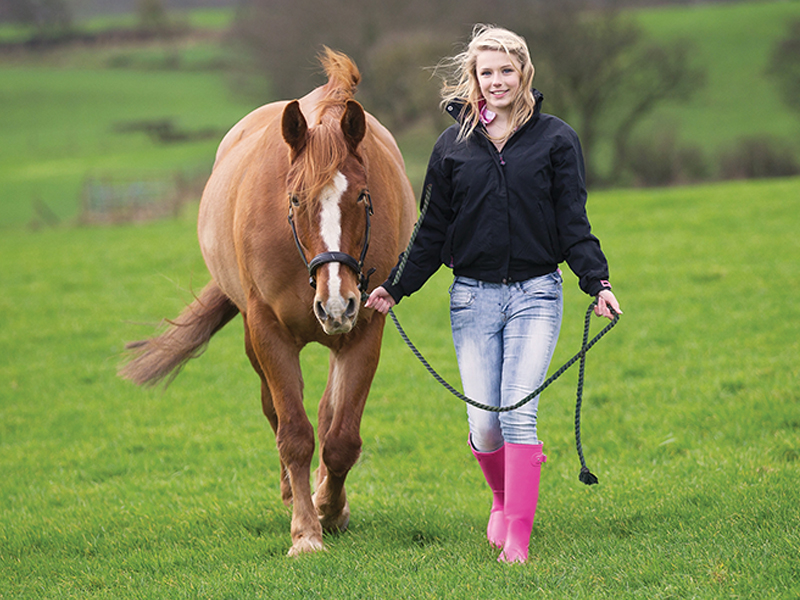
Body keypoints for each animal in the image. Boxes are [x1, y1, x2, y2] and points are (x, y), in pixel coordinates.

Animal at [120, 48, 416, 556]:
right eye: (294, 200)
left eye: (363, 196)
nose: (335, 304)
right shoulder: (267, 331)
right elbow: (293, 433)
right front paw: (305, 532)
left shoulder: (364, 330)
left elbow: (341, 438)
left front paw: (330, 510)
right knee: (276, 414)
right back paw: (292, 494)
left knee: (326, 413)